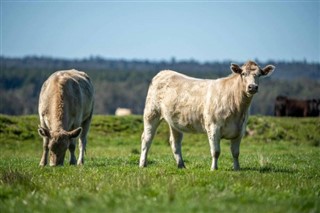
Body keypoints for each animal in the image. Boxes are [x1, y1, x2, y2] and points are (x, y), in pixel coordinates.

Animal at [138, 60, 276, 171]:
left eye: (259, 75)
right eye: (243, 74)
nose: (252, 87)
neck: (237, 109)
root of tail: (164, 72)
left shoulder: (240, 130)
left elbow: (236, 152)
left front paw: (237, 168)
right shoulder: (213, 127)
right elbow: (216, 151)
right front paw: (214, 168)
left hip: (175, 121)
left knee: (175, 142)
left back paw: (181, 165)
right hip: (151, 113)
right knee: (146, 138)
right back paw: (142, 164)